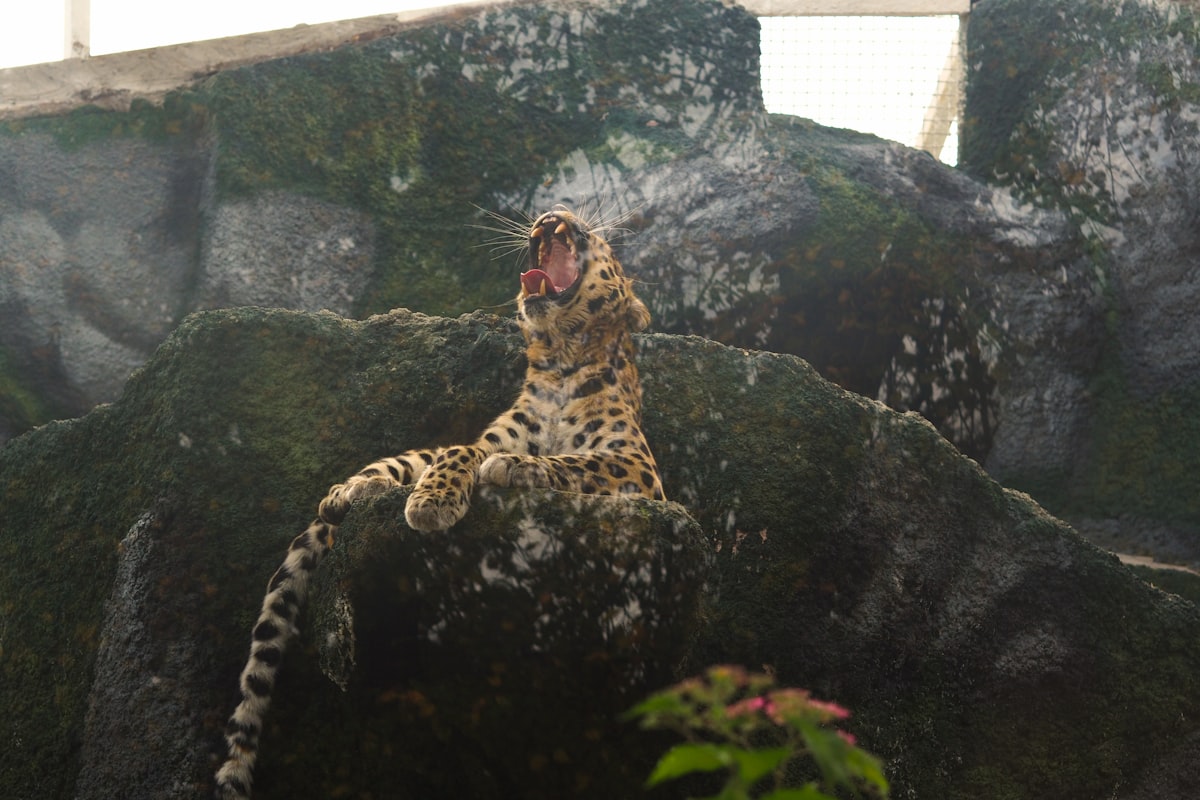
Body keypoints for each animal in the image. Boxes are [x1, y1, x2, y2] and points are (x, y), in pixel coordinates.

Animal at [214, 205, 665, 799]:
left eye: (596, 238)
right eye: (558, 216)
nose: (554, 214)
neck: (562, 358)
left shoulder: (638, 469)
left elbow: (573, 462)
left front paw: (518, 468)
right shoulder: (488, 437)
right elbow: (459, 449)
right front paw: (434, 497)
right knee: (404, 463)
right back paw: (348, 493)